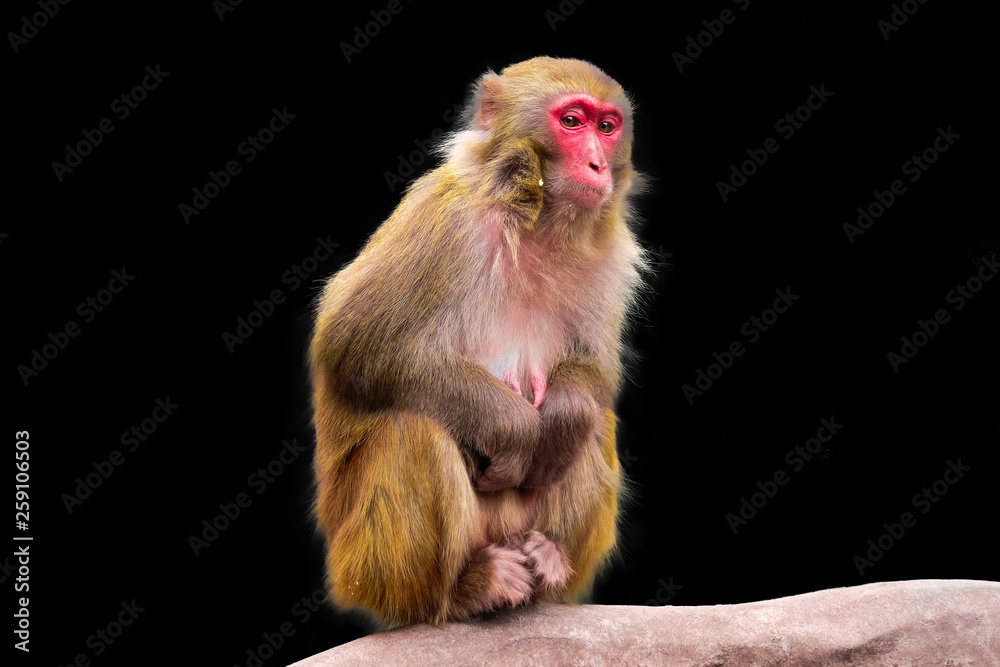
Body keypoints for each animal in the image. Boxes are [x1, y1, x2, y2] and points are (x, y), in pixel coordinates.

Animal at [309, 56, 647, 627]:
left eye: (607, 126)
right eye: (571, 121)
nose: (598, 165)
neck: (538, 225)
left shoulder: (611, 258)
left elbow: (595, 373)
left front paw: (565, 413)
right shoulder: (445, 220)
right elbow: (355, 344)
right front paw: (513, 430)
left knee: (593, 424)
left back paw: (548, 555)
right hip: (365, 566)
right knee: (413, 430)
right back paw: (462, 591)